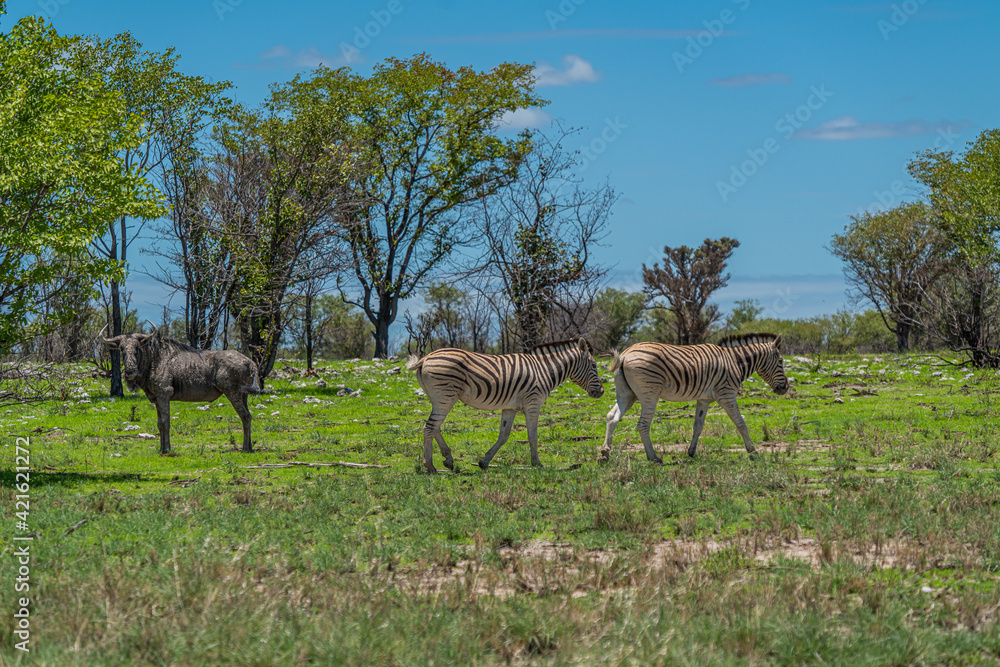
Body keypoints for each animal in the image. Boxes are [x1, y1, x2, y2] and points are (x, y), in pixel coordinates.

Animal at [407, 338, 605, 473]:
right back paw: (430, 466)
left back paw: (448, 459)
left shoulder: (510, 407)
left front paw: (484, 461)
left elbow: (503, 435)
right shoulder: (533, 403)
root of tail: (426, 357)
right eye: (594, 366)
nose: (601, 392)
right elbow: (533, 435)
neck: (543, 370)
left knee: (434, 427)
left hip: (437, 397)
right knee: (429, 428)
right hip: (445, 396)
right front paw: (537, 463)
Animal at [602, 333, 789, 463]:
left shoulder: (703, 399)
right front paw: (753, 451)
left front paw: (691, 452)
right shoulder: (726, 394)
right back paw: (653, 457)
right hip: (649, 394)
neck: (735, 362)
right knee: (642, 425)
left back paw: (605, 453)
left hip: (627, 394)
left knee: (612, 417)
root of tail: (624, 355)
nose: (785, 388)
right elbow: (741, 423)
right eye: (780, 361)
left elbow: (698, 426)